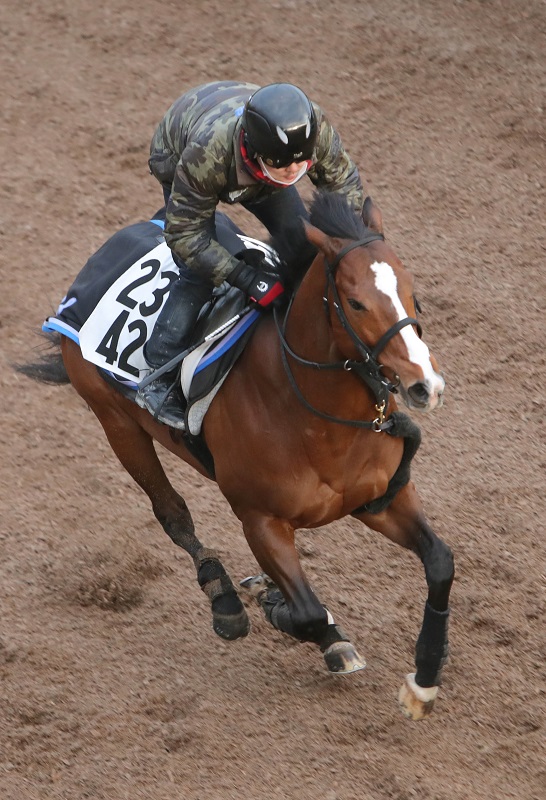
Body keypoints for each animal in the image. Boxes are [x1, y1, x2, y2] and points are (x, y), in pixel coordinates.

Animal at [19, 192, 452, 720]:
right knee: (172, 513)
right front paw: (289, 611)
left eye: (412, 292)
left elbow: (441, 563)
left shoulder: (380, 498)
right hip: (116, 423)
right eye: (356, 302)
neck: (312, 415)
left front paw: (423, 682)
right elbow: (309, 612)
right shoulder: (259, 519)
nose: (424, 386)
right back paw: (224, 596)